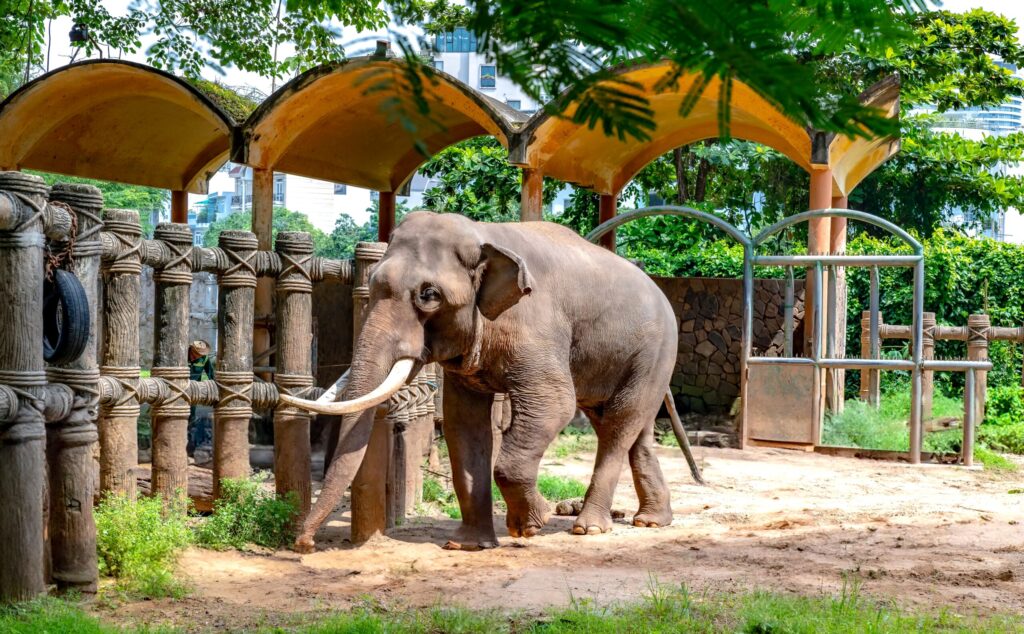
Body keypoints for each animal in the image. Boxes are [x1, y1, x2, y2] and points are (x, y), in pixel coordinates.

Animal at [282, 210, 686, 552]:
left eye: (428, 295)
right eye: (372, 283)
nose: (304, 544)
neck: (483, 234)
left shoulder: (536, 328)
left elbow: (555, 404)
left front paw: (531, 524)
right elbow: (464, 422)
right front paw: (468, 545)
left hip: (657, 352)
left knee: (620, 424)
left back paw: (589, 528)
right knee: (630, 428)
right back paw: (652, 521)